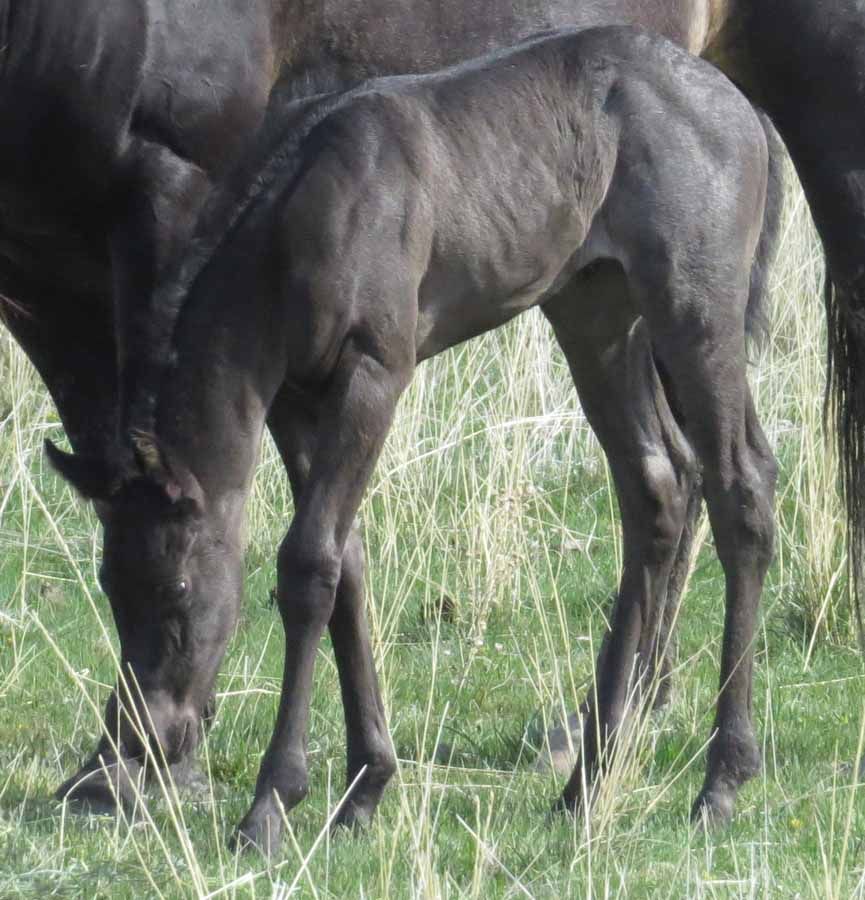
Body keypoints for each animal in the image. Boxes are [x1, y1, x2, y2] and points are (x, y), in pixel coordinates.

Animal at [6, 0, 865, 835]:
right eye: (110, 586)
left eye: (179, 590)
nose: (147, 739)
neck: (306, 202)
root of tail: (734, 104)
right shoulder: (294, 400)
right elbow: (345, 564)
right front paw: (363, 787)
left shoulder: (374, 370)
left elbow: (307, 564)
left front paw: (272, 802)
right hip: (594, 312)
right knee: (654, 486)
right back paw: (585, 782)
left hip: (694, 310)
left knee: (740, 485)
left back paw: (720, 781)